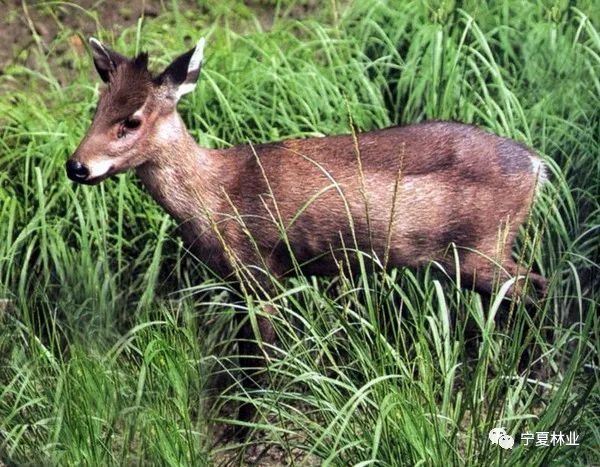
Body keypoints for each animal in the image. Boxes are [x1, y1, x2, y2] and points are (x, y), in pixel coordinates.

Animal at [65, 36, 548, 436]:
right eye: (97, 108)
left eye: (132, 120)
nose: (76, 166)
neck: (217, 197)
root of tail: (537, 164)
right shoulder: (241, 283)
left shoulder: (260, 270)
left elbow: (261, 360)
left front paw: (249, 430)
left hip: (481, 246)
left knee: (537, 287)